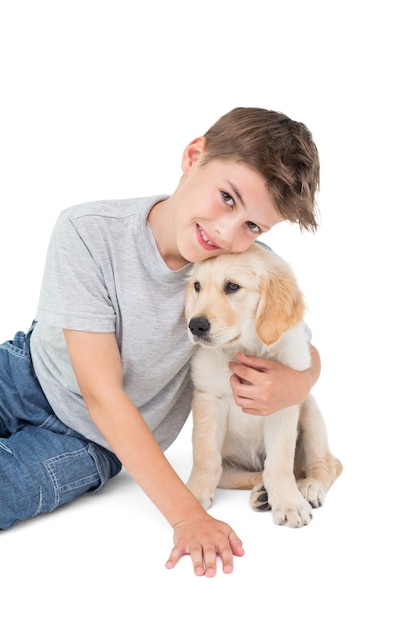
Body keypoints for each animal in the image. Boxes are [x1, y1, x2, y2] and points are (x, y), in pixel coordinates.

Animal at [185, 241, 342, 524]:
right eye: (197, 286)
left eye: (232, 286)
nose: (195, 326)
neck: (245, 348)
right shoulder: (208, 399)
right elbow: (205, 457)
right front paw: (193, 496)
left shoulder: (283, 402)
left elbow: (279, 462)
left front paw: (289, 503)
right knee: (241, 473)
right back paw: (262, 494)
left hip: (309, 407)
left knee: (326, 464)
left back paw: (308, 487)